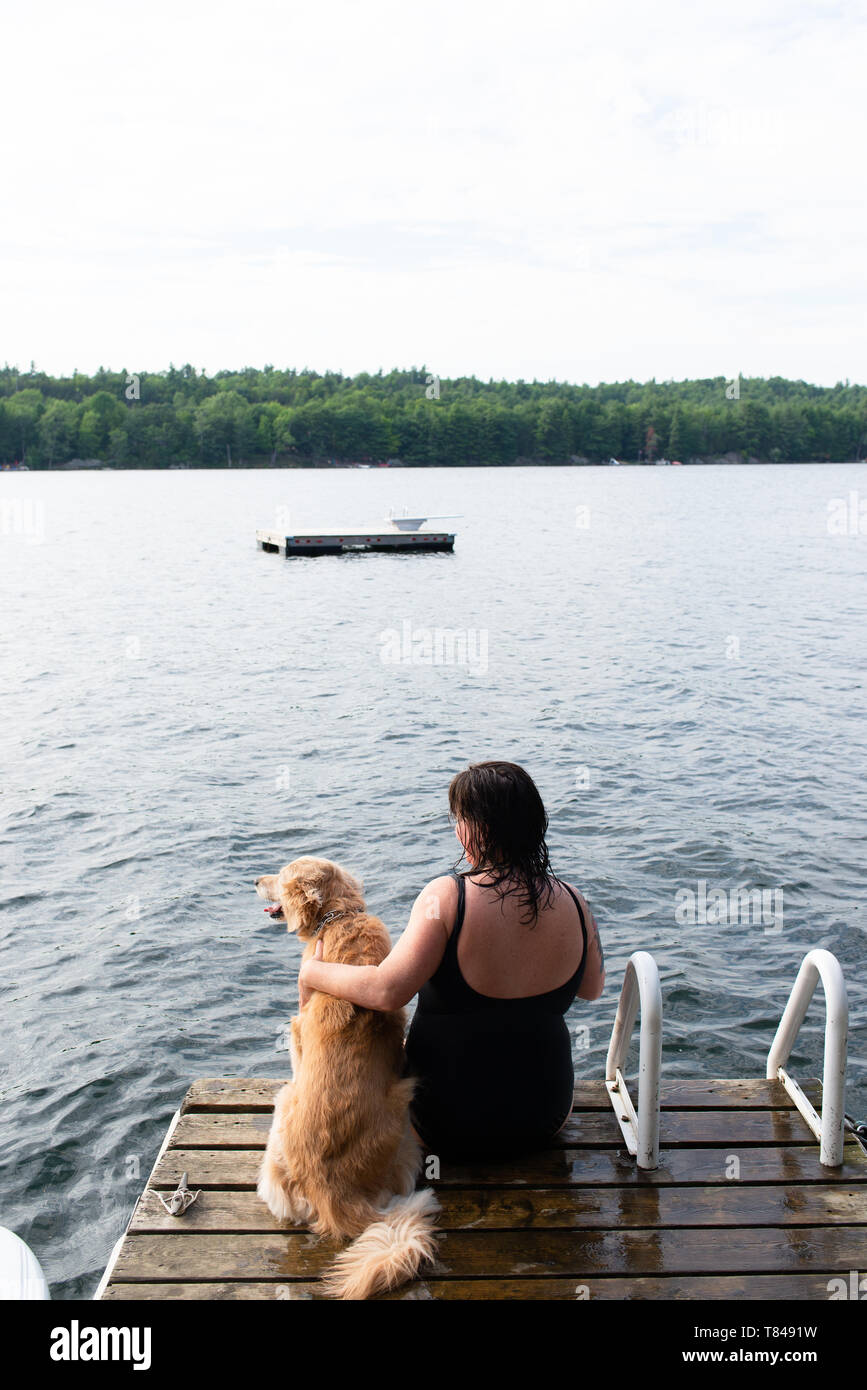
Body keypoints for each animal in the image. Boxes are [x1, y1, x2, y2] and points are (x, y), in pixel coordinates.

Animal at [250, 850, 439, 1295]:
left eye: (280, 876)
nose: (253, 881)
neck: (338, 918)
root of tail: (331, 1192)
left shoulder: (297, 1029)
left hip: (290, 1103)